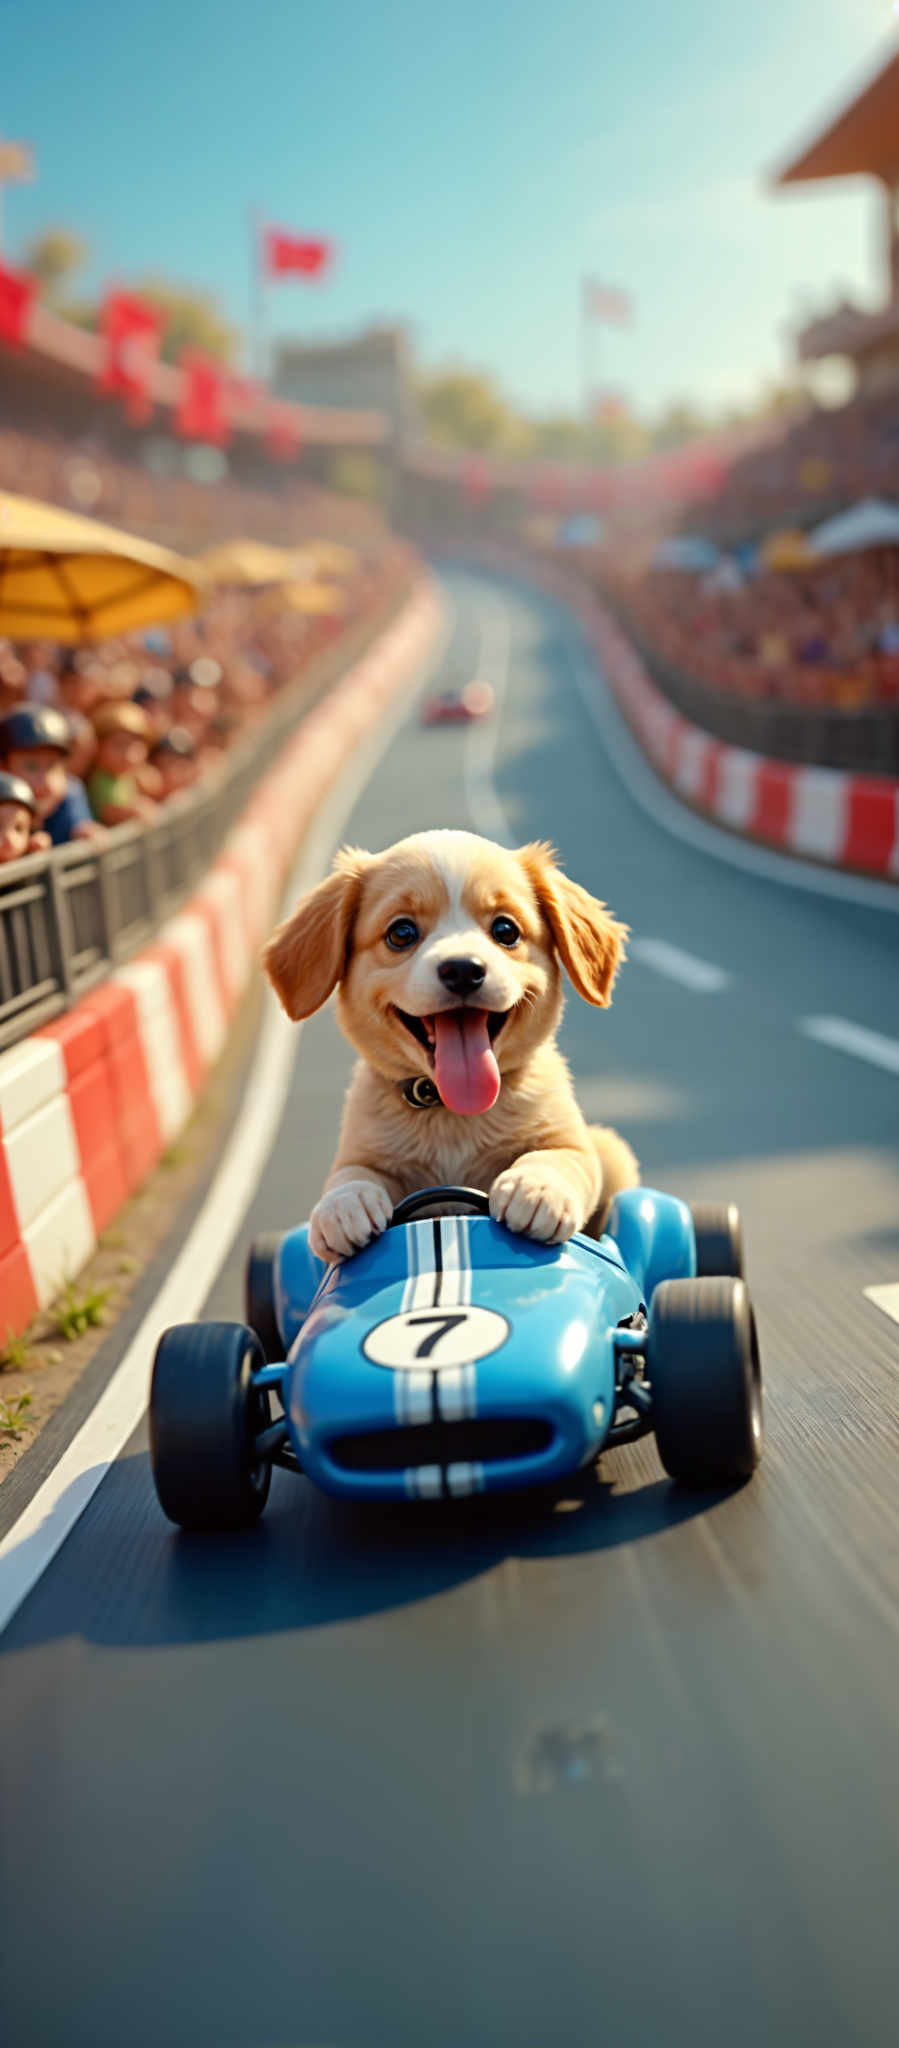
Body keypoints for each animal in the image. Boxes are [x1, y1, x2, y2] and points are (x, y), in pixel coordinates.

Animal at [264, 831, 643, 1261]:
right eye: (401, 933)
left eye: (506, 930)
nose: (463, 969)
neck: (452, 1113)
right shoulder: (361, 1153)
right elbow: (349, 1176)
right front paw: (344, 1206)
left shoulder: (573, 1143)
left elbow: (558, 1157)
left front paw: (537, 1188)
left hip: (612, 1149)